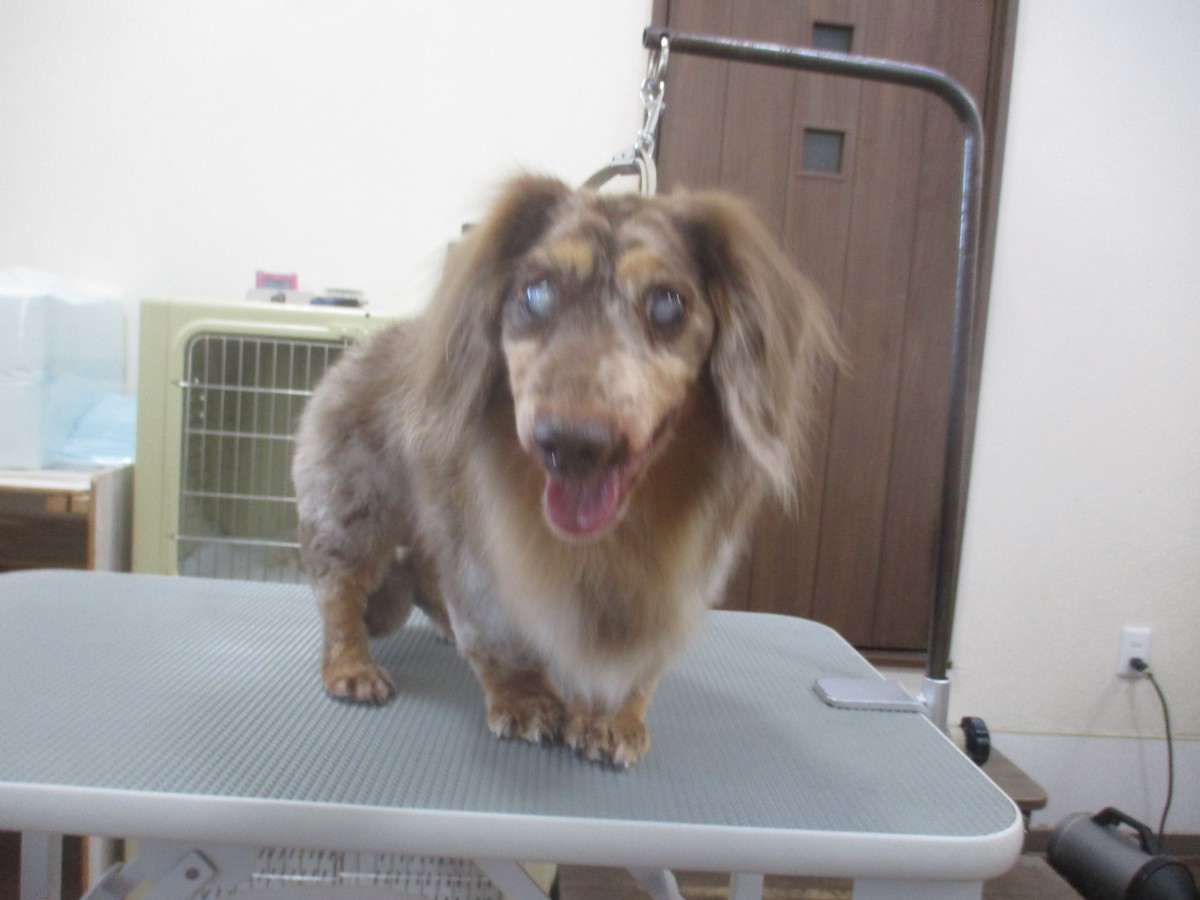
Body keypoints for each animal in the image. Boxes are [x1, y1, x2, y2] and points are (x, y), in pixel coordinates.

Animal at [292, 174, 838, 767]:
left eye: (667, 305)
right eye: (536, 294)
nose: (571, 445)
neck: (615, 533)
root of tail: (359, 349)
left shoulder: (677, 581)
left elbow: (633, 662)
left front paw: (610, 717)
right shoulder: (480, 555)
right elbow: (497, 637)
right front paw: (526, 698)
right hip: (350, 515)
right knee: (340, 591)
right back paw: (351, 666)